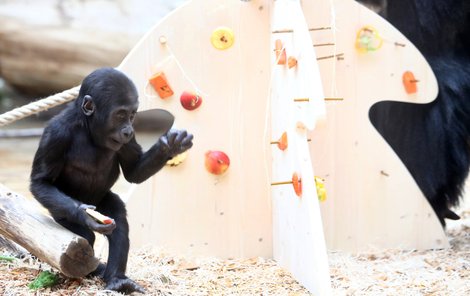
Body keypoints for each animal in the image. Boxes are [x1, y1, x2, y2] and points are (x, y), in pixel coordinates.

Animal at [30, 67, 193, 294]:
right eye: (120, 115)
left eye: (132, 115)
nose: (128, 130)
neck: (88, 127)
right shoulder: (56, 133)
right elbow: (41, 182)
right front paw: (83, 214)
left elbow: (134, 172)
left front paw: (170, 146)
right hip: (59, 213)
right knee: (85, 236)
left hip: (104, 200)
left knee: (119, 222)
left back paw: (116, 279)